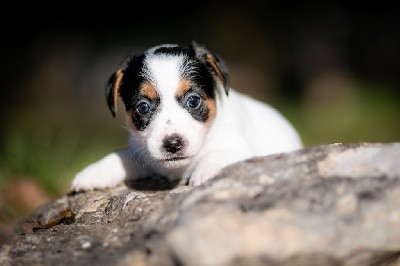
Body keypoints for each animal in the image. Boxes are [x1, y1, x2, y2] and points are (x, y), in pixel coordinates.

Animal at [72, 42, 304, 191]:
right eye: (143, 107)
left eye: (193, 101)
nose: (172, 144)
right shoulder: (143, 153)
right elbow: (121, 155)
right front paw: (94, 173)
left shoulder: (239, 147)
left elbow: (218, 155)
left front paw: (205, 174)